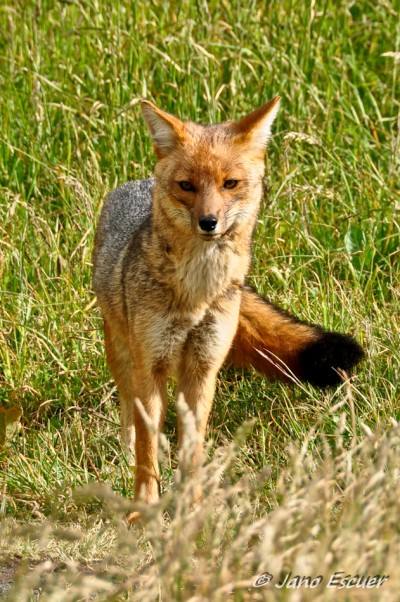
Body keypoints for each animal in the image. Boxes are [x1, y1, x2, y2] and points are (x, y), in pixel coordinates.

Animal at [92, 98, 364, 520]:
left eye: (229, 184)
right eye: (187, 186)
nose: (209, 222)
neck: (196, 295)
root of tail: (133, 184)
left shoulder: (203, 369)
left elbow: (193, 452)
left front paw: (191, 509)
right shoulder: (150, 366)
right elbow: (147, 451)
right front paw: (144, 511)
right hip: (123, 357)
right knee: (130, 420)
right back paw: (124, 456)